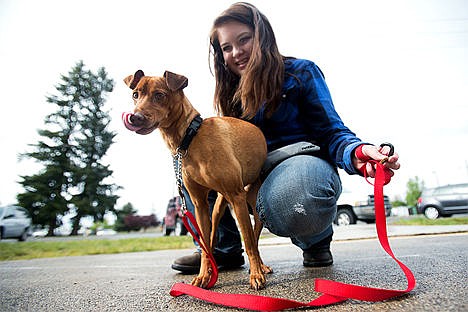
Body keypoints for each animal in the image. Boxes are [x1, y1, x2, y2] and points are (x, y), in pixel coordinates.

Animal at [122, 70, 272, 290]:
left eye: (159, 95)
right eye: (135, 94)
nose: (135, 117)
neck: (191, 138)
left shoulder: (237, 197)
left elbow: (249, 241)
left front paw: (255, 275)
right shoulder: (199, 204)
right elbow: (205, 245)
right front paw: (203, 276)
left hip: (252, 205)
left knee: (253, 237)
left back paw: (261, 267)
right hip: (218, 206)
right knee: (215, 235)